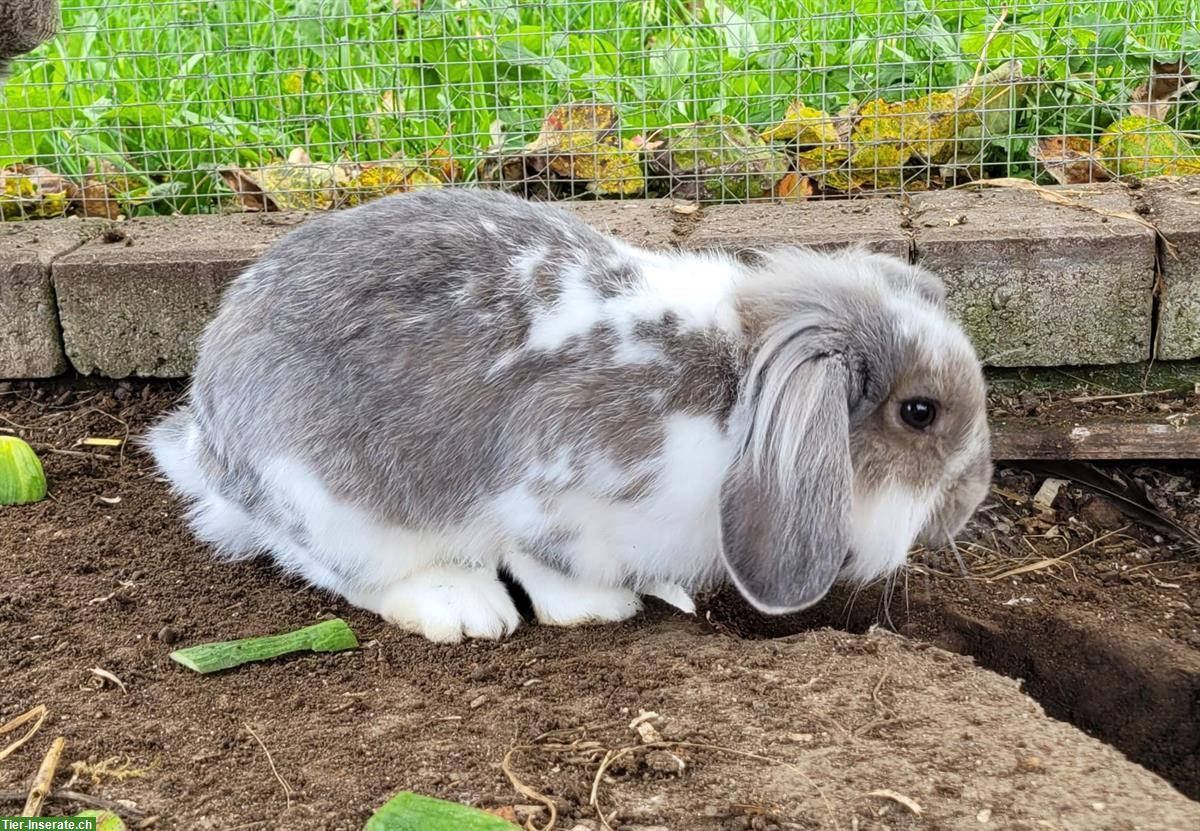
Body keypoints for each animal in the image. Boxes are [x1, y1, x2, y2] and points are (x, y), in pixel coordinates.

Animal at [152, 188, 993, 643]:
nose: (971, 496)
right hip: (331, 502)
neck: (735, 402)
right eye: (920, 411)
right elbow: (541, 561)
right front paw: (600, 608)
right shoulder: (550, 492)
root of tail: (209, 438)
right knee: (347, 571)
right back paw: (463, 606)